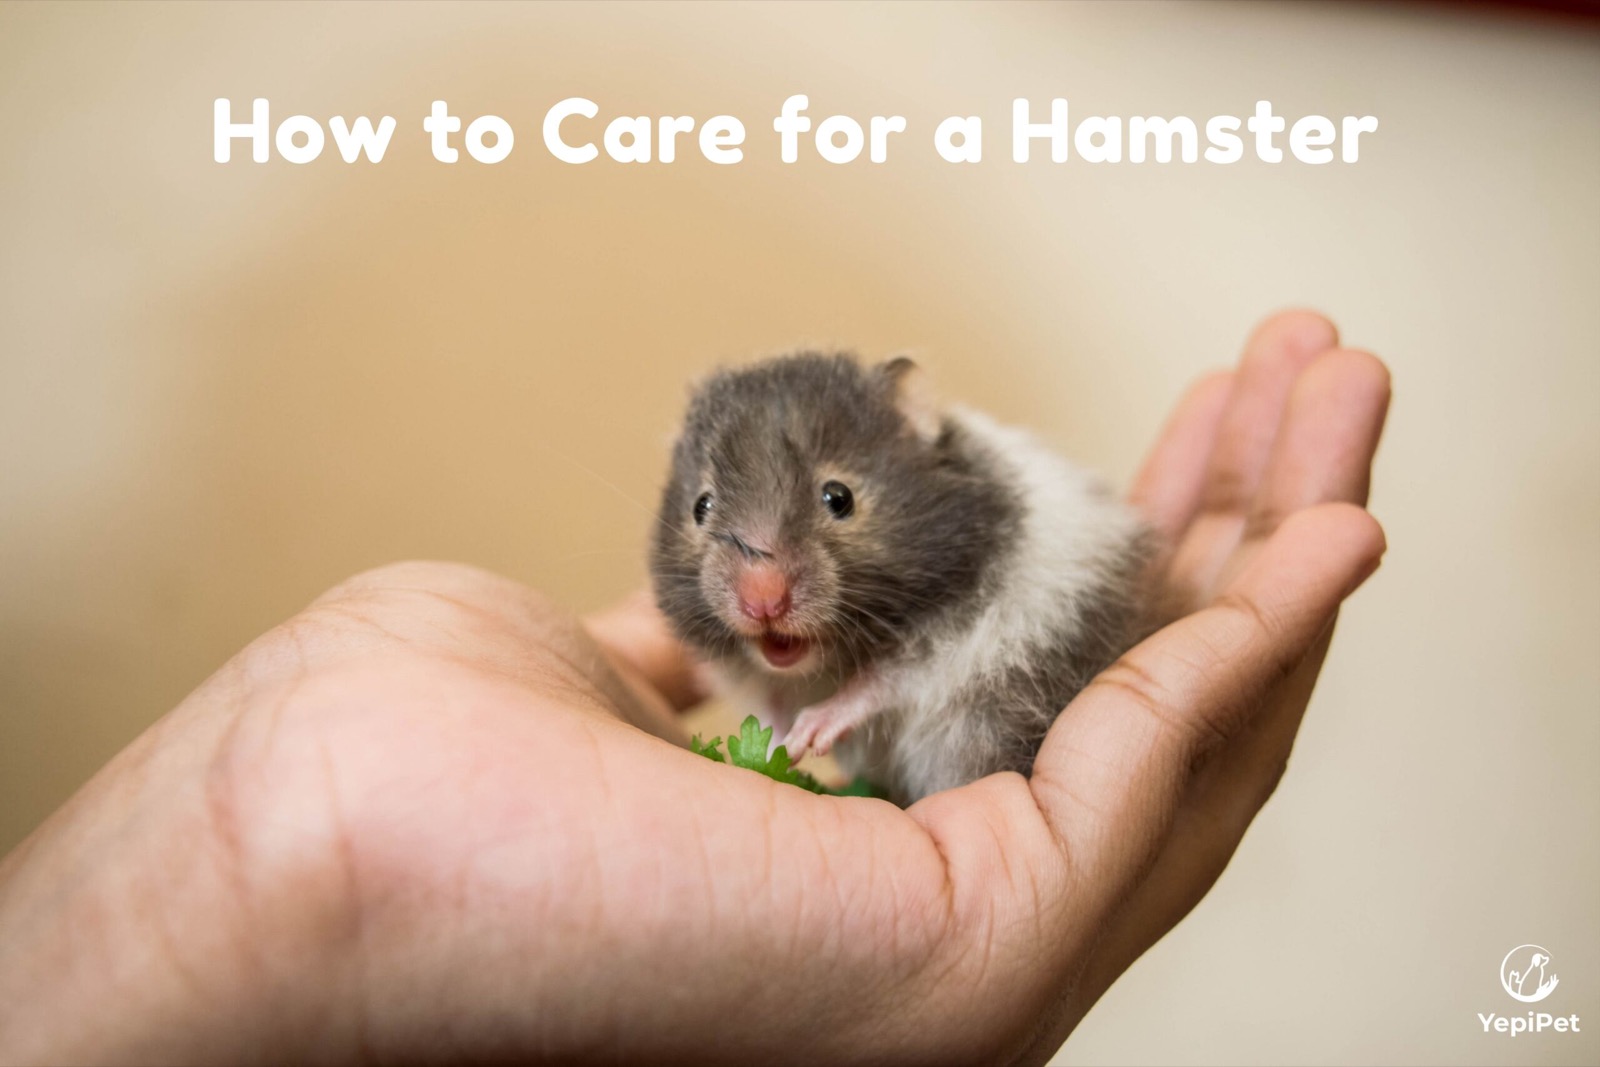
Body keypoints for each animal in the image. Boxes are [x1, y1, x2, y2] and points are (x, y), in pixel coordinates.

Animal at [651, 351, 1153, 806]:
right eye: (701, 507)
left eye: (839, 497)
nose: (761, 602)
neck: (826, 663)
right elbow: (769, 704)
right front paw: (779, 745)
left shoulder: (956, 636)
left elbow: (879, 682)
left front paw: (810, 731)